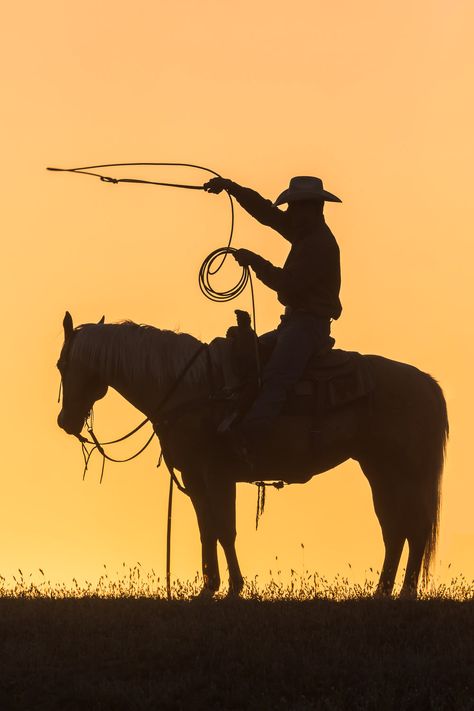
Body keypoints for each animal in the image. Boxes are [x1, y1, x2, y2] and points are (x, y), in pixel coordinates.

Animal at [56, 314, 448, 596]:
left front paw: (233, 588)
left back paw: (406, 593)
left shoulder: (217, 474)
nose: (65, 421)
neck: (189, 388)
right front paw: (209, 587)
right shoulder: (194, 477)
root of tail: (426, 383)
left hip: (408, 472)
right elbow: (207, 529)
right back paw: (382, 592)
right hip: (379, 470)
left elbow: (225, 529)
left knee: (414, 528)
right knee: (395, 529)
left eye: (62, 364)